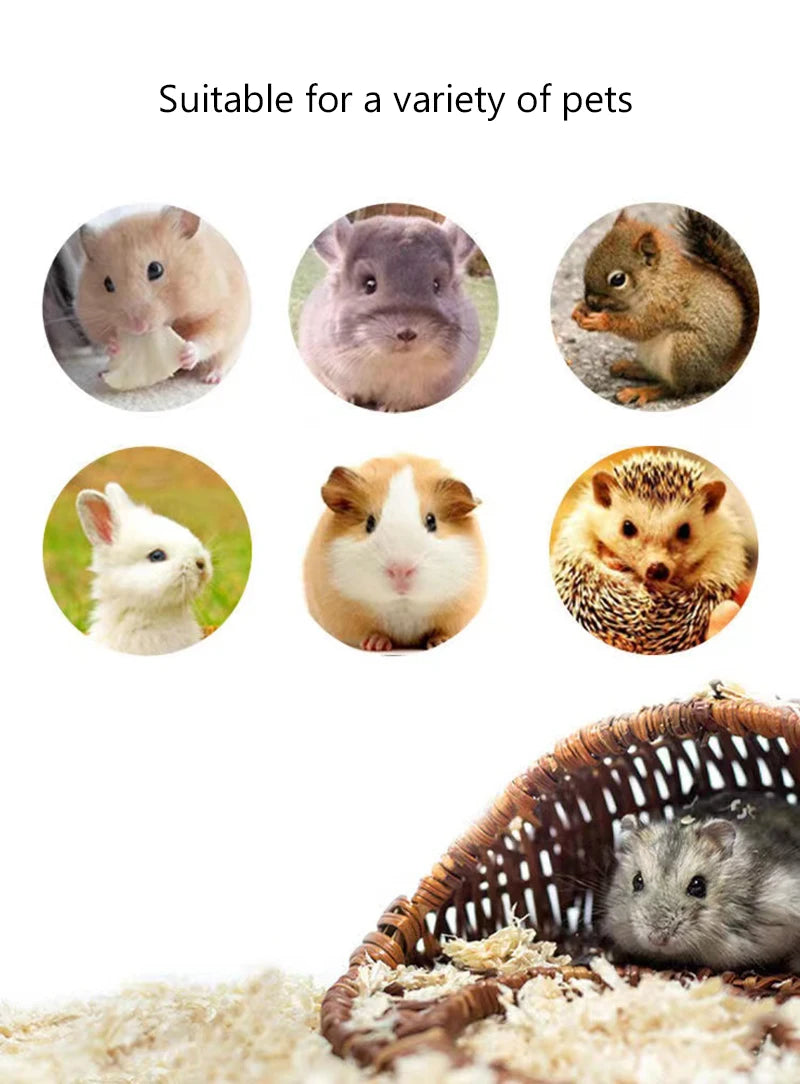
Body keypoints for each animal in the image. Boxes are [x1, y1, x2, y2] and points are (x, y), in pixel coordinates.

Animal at [76, 206, 250, 384]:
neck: (175, 321)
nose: (139, 328)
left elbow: (207, 338)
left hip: (235, 341)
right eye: (108, 283)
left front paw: (187, 353)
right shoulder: (92, 321)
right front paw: (114, 345)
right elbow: (104, 340)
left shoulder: (222, 311)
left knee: (224, 359)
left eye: (155, 269)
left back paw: (211, 378)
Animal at [298, 215, 480, 411]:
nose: (407, 333)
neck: (392, 363)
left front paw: (389, 408)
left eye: (437, 285)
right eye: (370, 284)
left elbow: (402, 401)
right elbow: (344, 390)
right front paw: (348, 399)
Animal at [304, 455, 486, 650]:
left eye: (432, 521)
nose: (400, 571)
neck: (403, 605)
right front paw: (376, 645)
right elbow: (369, 633)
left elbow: (444, 630)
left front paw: (438, 642)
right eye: (369, 523)